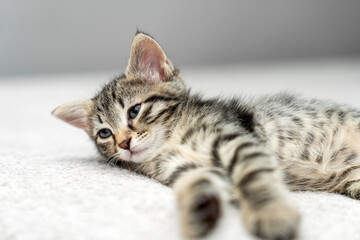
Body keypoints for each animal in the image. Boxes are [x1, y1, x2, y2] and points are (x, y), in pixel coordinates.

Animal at [52, 32, 360, 240]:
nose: (124, 143)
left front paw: (271, 213)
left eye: (134, 110)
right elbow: (196, 183)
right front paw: (199, 211)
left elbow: (255, 179)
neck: (170, 142)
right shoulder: (183, 169)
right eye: (104, 133)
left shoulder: (237, 140)